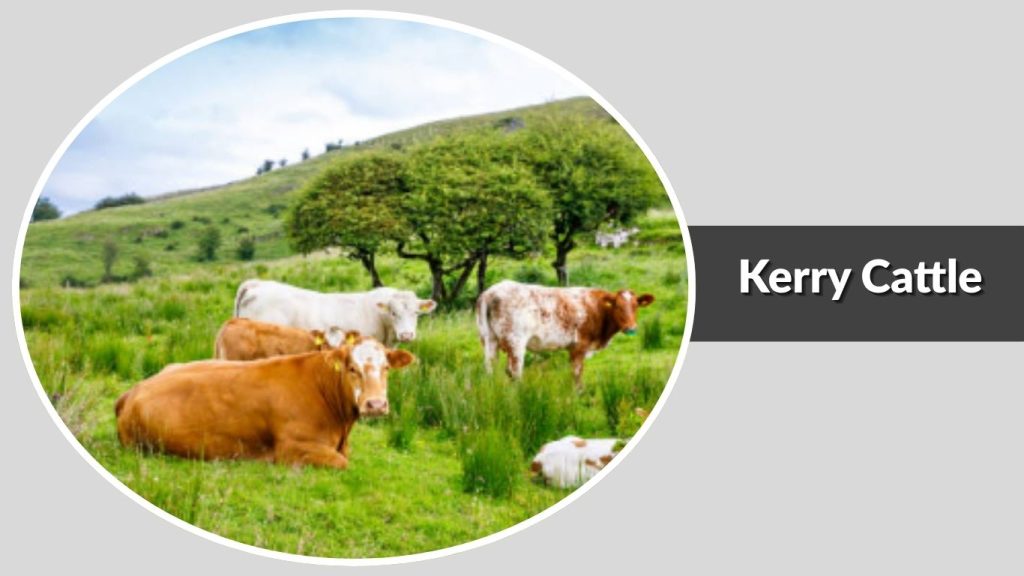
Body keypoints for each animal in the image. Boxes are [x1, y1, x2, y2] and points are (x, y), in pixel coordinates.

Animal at [115, 336, 415, 469]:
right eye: (352, 368)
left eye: (386, 367)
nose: (375, 405)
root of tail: (133, 391)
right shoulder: (292, 448)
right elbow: (342, 462)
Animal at [475, 280, 654, 386]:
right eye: (617, 306)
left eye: (636, 306)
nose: (631, 328)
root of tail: (490, 292)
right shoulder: (580, 345)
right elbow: (577, 373)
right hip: (515, 342)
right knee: (514, 371)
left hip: (489, 339)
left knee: (490, 367)